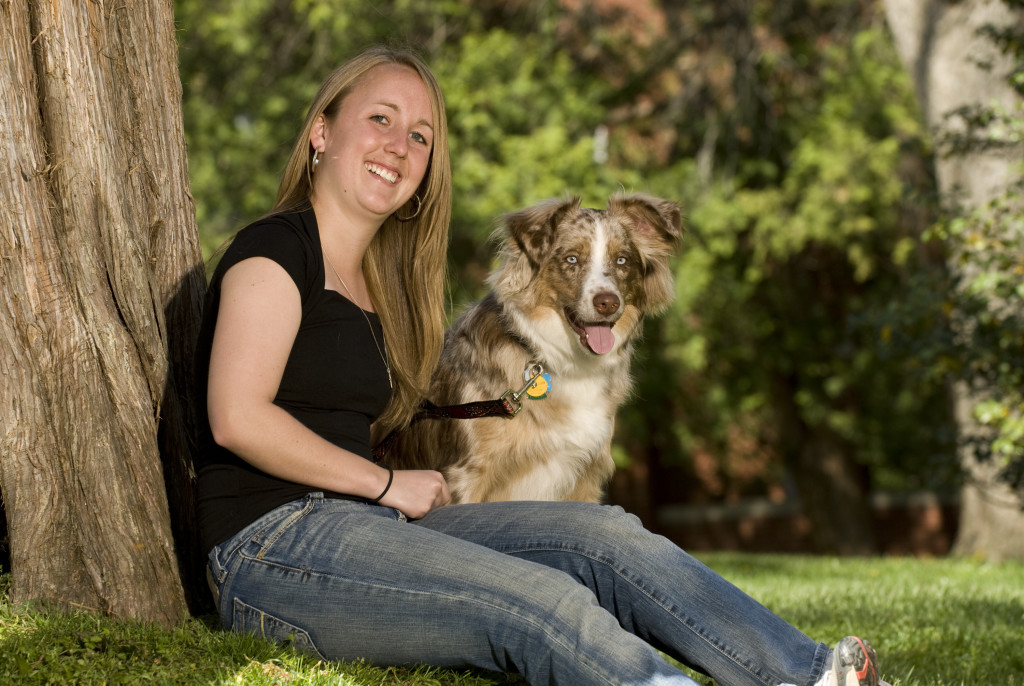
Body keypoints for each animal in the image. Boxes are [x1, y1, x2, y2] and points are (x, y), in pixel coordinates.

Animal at [387, 193, 684, 505]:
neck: (563, 360)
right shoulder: (466, 475)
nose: (608, 302)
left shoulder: (586, 475)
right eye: (571, 259)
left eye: (622, 260)